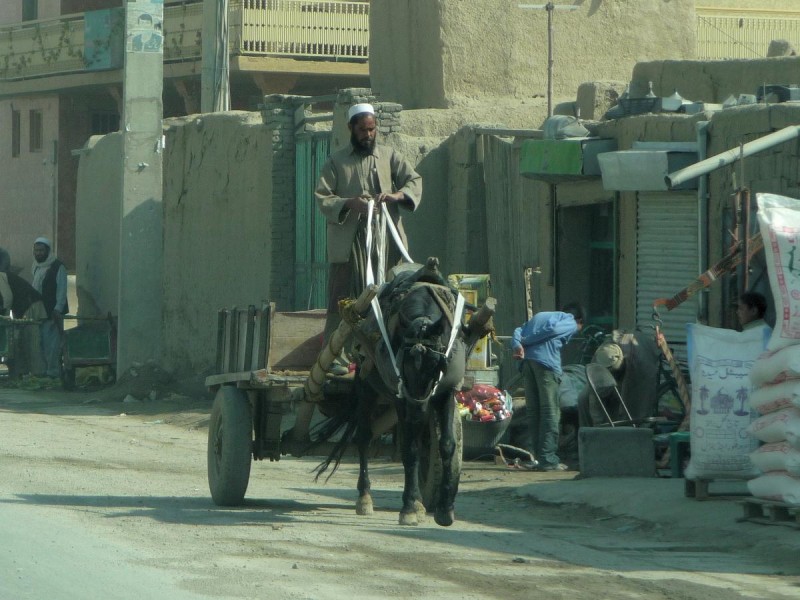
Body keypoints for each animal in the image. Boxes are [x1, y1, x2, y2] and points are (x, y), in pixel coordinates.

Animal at [314, 258, 476, 524]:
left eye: (437, 365)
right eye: (403, 364)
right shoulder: (400, 396)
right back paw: (365, 497)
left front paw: (444, 508)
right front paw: (408, 507)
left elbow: (447, 445)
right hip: (367, 388)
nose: (419, 407)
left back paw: (420, 502)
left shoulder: (446, 392)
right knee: (364, 437)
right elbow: (409, 450)